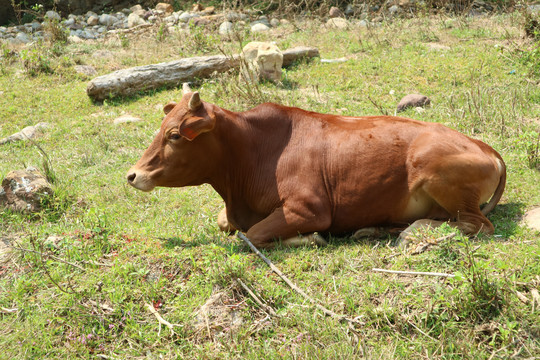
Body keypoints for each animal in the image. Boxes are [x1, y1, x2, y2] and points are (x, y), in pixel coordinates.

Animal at [126, 85, 506, 248]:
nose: (133, 174)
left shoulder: (310, 209)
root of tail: (487, 148)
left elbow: (253, 234)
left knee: (478, 225)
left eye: (175, 134)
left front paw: (308, 239)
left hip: (436, 172)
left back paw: (412, 231)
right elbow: (227, 224)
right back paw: (374, 229)